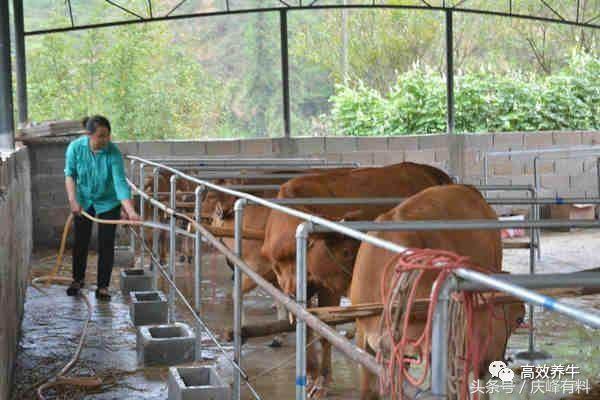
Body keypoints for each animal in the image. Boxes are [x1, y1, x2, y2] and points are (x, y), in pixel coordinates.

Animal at [260, 162, 452, 394]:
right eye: (346, 251)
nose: (361, 279)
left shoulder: (327, 288)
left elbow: (324, 331)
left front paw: (322, 380)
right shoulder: (290, 287)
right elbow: (305, 324)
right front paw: (311, 373)